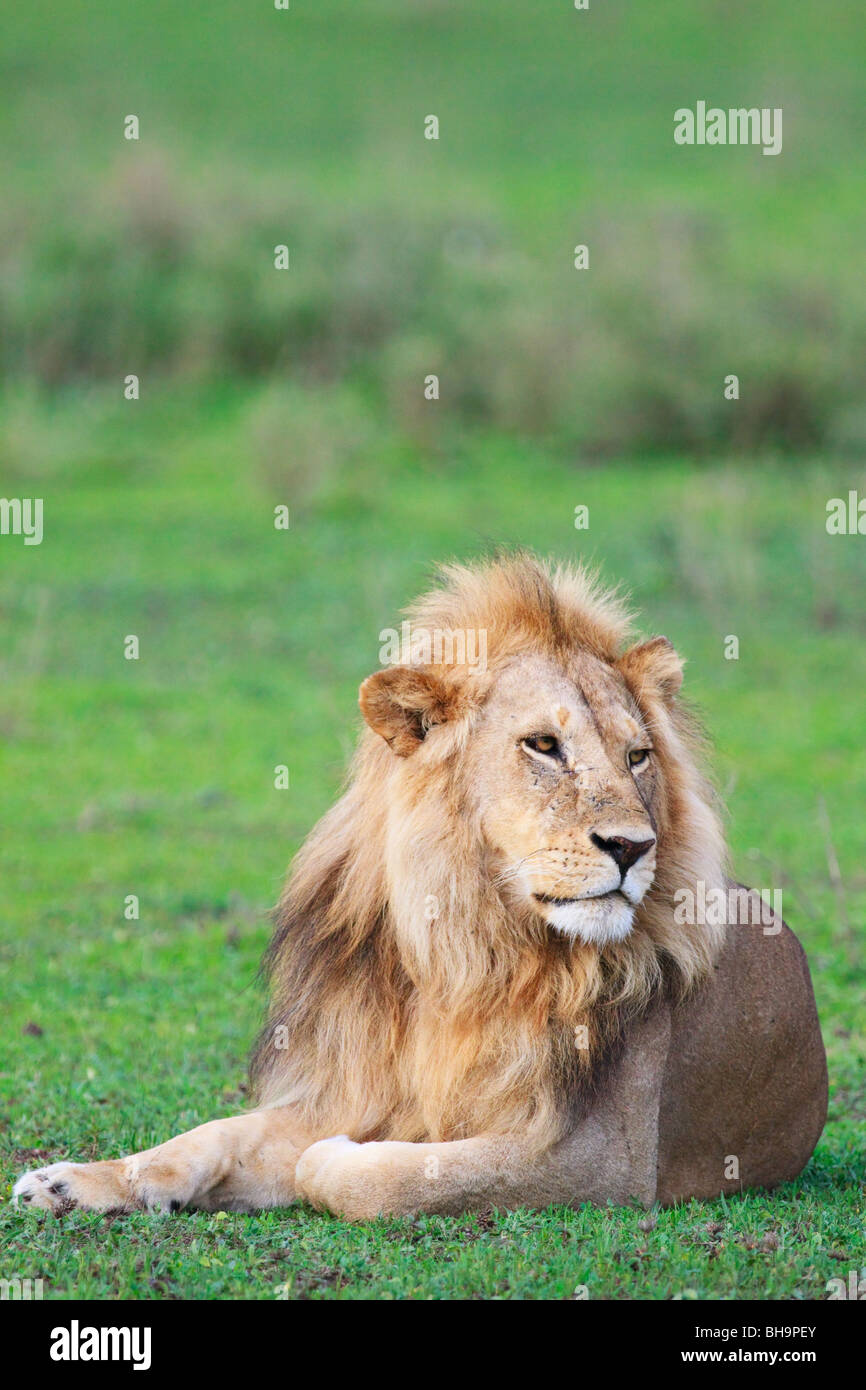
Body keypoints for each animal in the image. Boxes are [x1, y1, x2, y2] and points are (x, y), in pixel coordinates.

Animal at [14, 554, 827, 1220]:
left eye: (637, 756)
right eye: (543, 745)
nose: (632, 847)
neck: (464, 945)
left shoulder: (604, 1158)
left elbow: (379, 1176)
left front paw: (338, 1156)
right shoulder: (357, 1083)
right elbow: (210, 1136)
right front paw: (75, 1181)